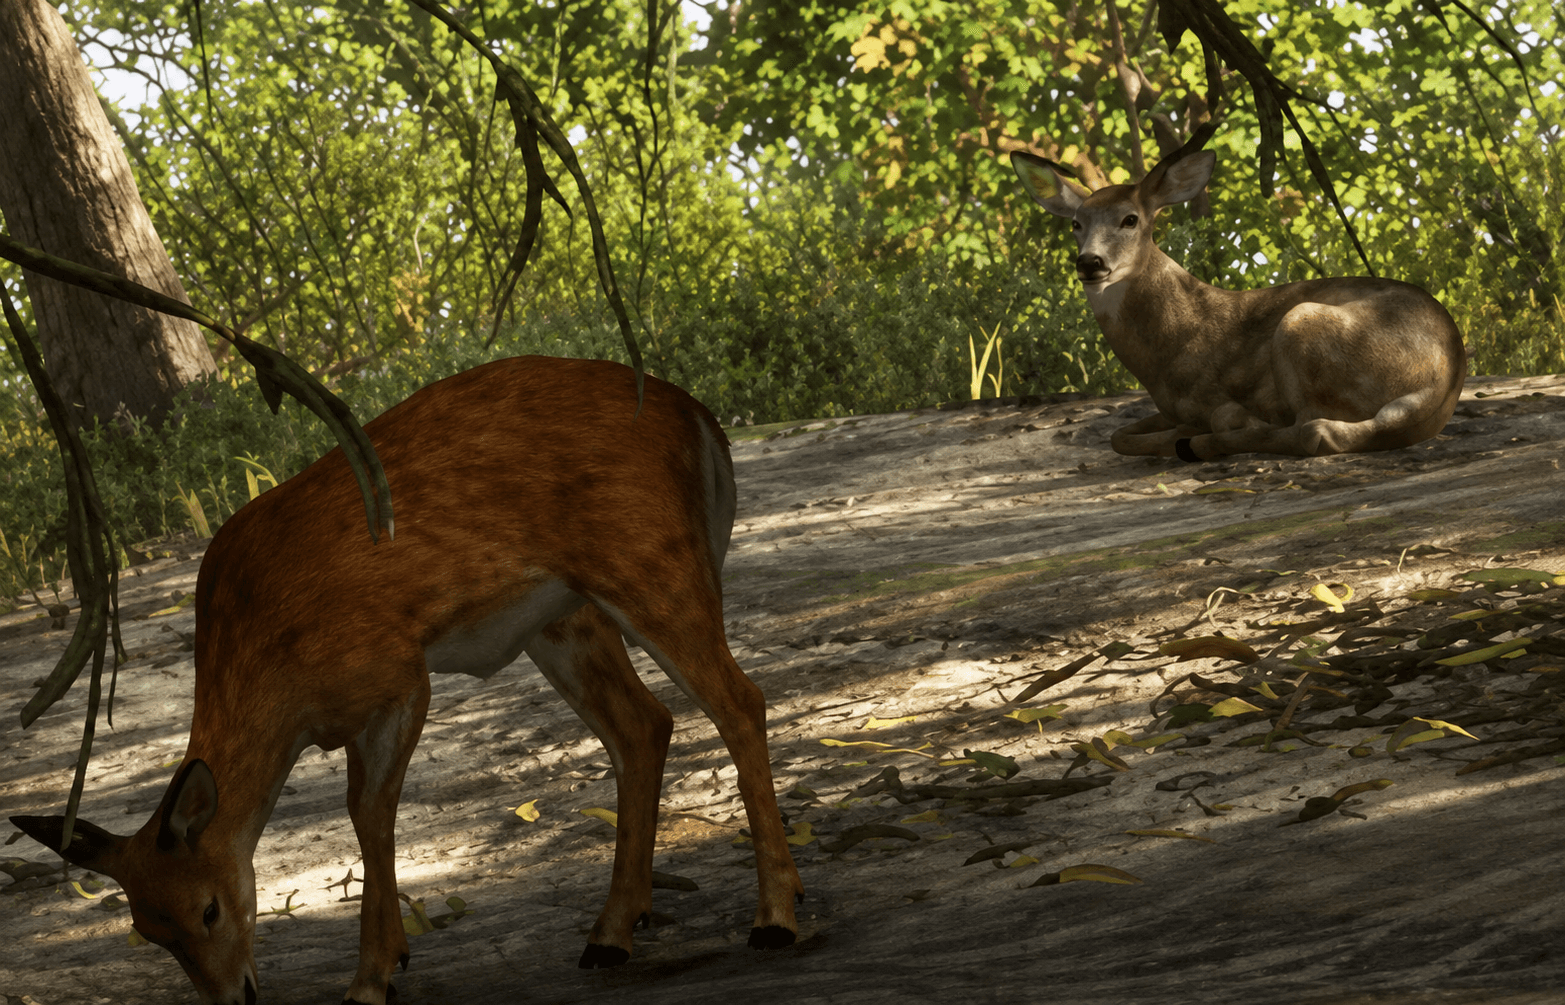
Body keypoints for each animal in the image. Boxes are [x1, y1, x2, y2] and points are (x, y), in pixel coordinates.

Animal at [11, 356, 804, 1005]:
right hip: (564, 618)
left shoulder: (396, 670)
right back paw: (611, 934)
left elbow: (368, 811)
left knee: (739, 699)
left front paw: (372, 977)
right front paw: (390, 961)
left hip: (651, 563)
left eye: (207, 907)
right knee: (643, 724)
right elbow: (369, 814)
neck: (272, 670)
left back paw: (774, 919)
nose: (234, 997)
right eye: (149, 930)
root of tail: (701, 422)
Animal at [1011, 145, 1466, 461]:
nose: (1090, 262)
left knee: (1314, 430)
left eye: (1130, 219)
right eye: (1076, 224)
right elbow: (1117, 436)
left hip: (1302, 321)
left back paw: (1201, 443)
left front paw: (1190, 435)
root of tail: (1444, 374)